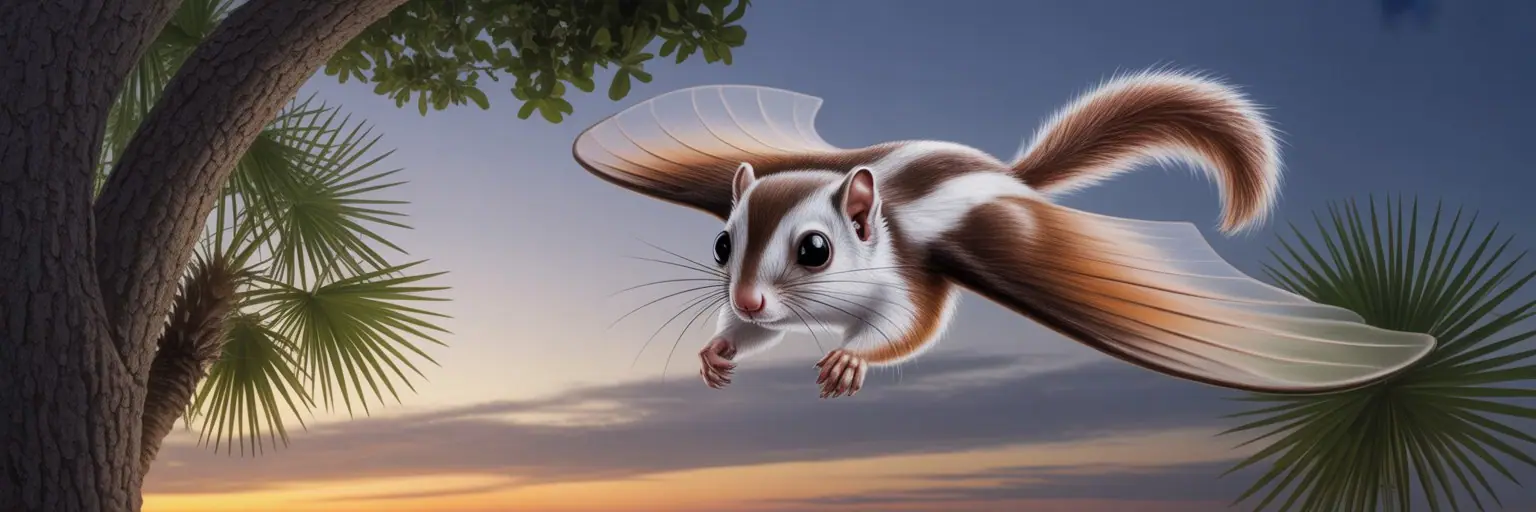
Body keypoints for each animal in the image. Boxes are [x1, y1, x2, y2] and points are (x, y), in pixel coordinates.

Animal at [572, 69, 1435, 399]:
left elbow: (911, 329)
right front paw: (720, 348)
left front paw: (851, 358)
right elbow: (757, 336)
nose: (746, 298)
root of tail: (1006, 170)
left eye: (815, 249)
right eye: (723, 245)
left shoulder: (912, 278)